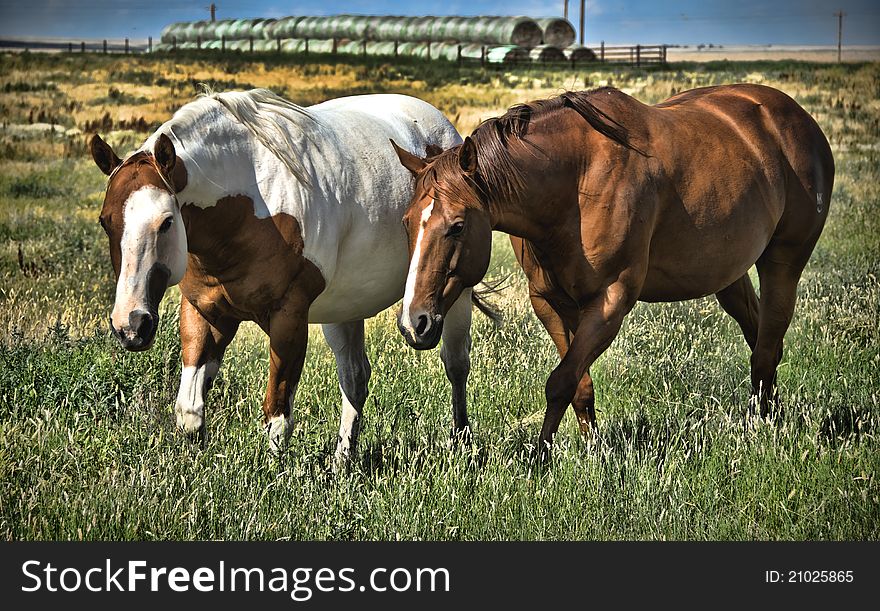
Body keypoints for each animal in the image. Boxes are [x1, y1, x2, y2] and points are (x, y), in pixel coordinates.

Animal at [90, 89, 484, 464]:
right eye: (105, 222)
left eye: (167, 222)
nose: (131, 325)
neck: (246, 210)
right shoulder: (204, 312)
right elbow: (189, 411)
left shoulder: (288, 320)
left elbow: (277, 416)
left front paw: (272, 476)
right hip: (345, 309)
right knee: (355, 378)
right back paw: (343, 462)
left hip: (452, 296)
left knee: (456, 365)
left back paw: (462, 444)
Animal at [396, 85, 836, 460]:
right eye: (406, 222)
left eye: (457, 226)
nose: (414, 323)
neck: (575, 184)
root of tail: (796, 117)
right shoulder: (550, 303)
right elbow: (579, 384)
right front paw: (591, 450)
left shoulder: (610, 303)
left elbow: (560, 382)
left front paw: (540, 458)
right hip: (729, 274)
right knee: (761, 335)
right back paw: (769, 414)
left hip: (783, 263)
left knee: (767, 343)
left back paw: (761, 427)